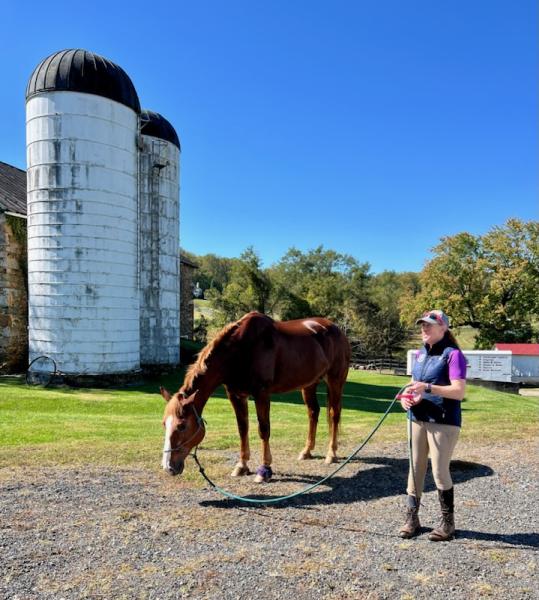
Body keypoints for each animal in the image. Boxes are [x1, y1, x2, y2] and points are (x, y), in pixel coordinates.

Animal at [159, 312, 354, 480]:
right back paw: (306, 451)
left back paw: (331, 454)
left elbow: (264, 429)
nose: (168, 467)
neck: (240, 351)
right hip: (309, 384)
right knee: (313, 412)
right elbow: (242, 429)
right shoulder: (235, 395)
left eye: (182, 426)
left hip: (335, 381)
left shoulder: (261, 393)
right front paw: (242, 466)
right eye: (164, 424)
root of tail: (336, 330)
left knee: (334, 415)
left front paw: (265, 469)